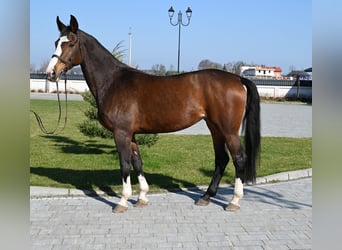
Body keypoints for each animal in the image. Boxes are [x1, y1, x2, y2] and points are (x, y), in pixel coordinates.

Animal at [45, 15, 260, 213]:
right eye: (56, 42)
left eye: (70, 43)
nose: (51, 73)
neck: (113, 82)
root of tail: (238, 79)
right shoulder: (130, 134)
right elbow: (137, 163)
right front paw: (142, 198)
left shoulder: (121, 133)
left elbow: (125, 165)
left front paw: (122, 201)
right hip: (214, 128)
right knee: (221, 159)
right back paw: (206, 197)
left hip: (228, 130)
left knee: (239, 158)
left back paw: (234, 201)